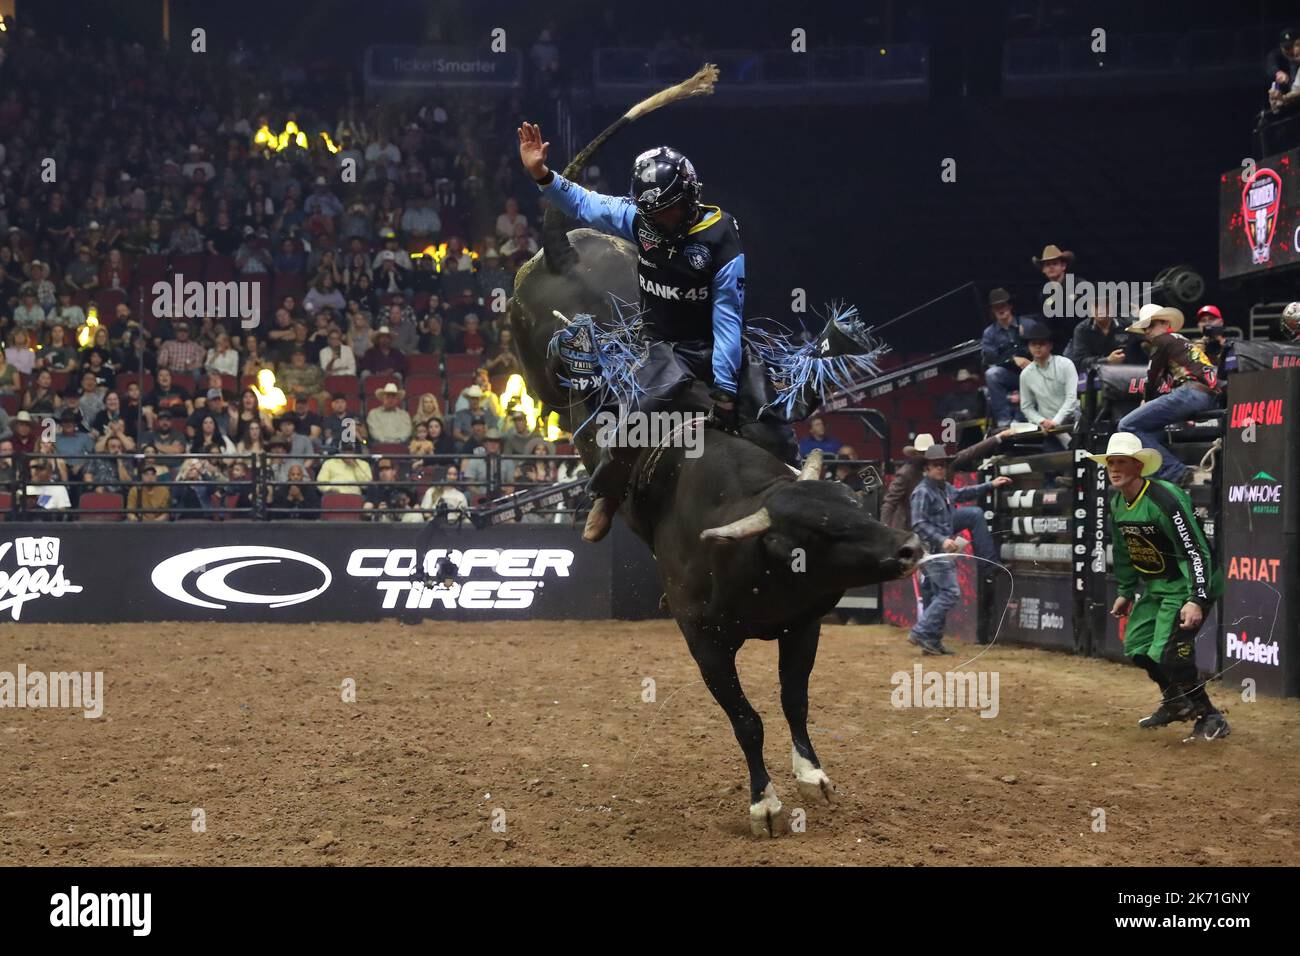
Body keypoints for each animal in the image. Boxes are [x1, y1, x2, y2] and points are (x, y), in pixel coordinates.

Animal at [501, 65, 920, 837]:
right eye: (817, 532)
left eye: (853, 504)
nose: (906, 549)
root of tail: (562, 247)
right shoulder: (701, 639)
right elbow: (747, 718)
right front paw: (764, 802)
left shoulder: (803, 624)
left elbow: (792, 700)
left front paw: (813, 773)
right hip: (536, 357)